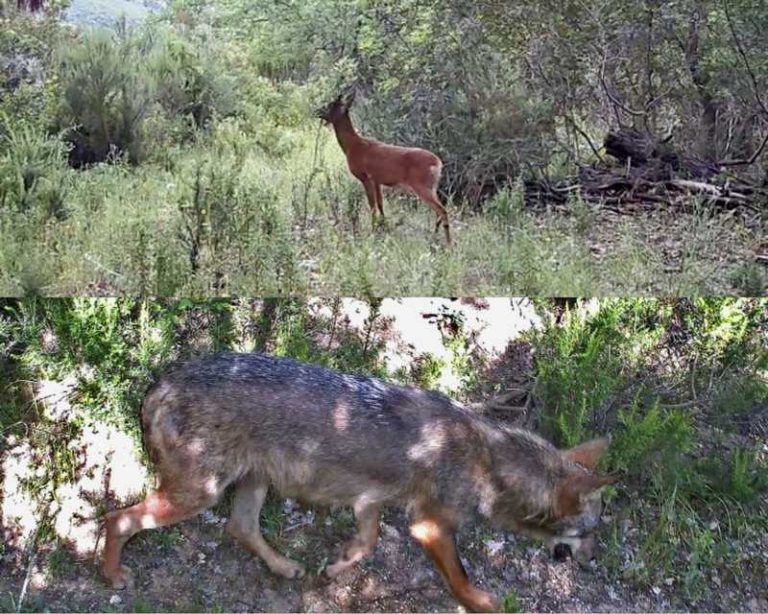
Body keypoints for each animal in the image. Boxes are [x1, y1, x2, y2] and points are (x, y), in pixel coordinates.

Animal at [102, 353, 615, 612]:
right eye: (588, 533)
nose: (593, 560)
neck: (489, 462)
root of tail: (161, 381)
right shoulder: (429, 526)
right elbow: (462, 579)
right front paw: (485, 603)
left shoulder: (370, 501)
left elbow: (367, 543)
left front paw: (337, 567)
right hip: (198, 495)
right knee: (116, 518)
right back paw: (112, 576)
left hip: (252, 484)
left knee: (239, 528)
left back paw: (286, 568)